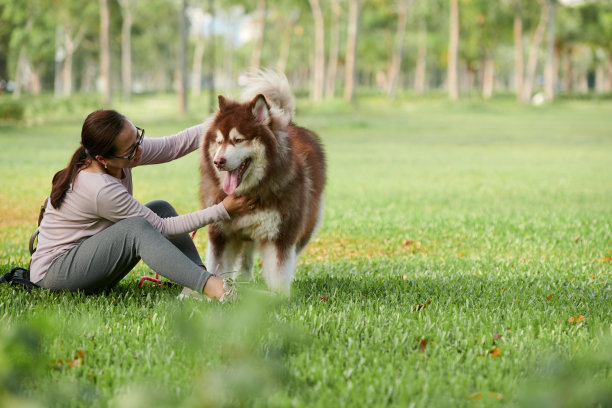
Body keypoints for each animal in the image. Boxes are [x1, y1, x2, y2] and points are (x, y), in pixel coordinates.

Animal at [200, 70, 326, 294]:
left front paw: (278, 297)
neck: (252, 190)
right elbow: (217, 267)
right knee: (246, 254)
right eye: (219, 140)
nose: (218, 162)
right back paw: (244, 278)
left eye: (238, 140)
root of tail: (289, 122)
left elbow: (279, 271)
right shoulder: (221, 232)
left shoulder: (280, 235)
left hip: (305, 225)